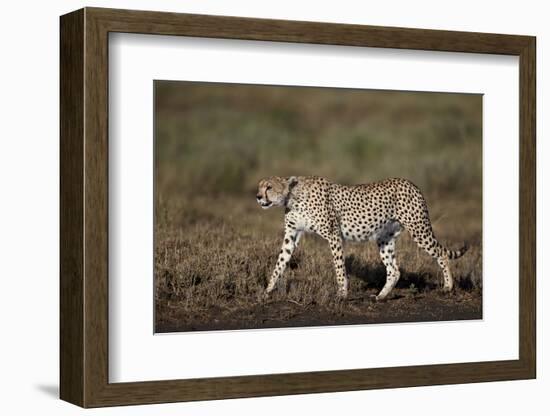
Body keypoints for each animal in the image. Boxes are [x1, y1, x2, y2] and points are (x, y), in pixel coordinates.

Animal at [258, 177, 470, 300]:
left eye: (269, 187)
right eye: (260, 187)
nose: (258, 197)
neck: (292, 197)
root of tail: (410, 183)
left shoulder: (334, 235)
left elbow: (339, 267)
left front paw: (342, 294)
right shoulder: (291, 236)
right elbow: (280, 262)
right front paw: (268, 290)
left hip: (419, 229)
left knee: (442, 254)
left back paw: (448, 287)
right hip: (385, 239)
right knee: (394, 270)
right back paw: (381, 296)